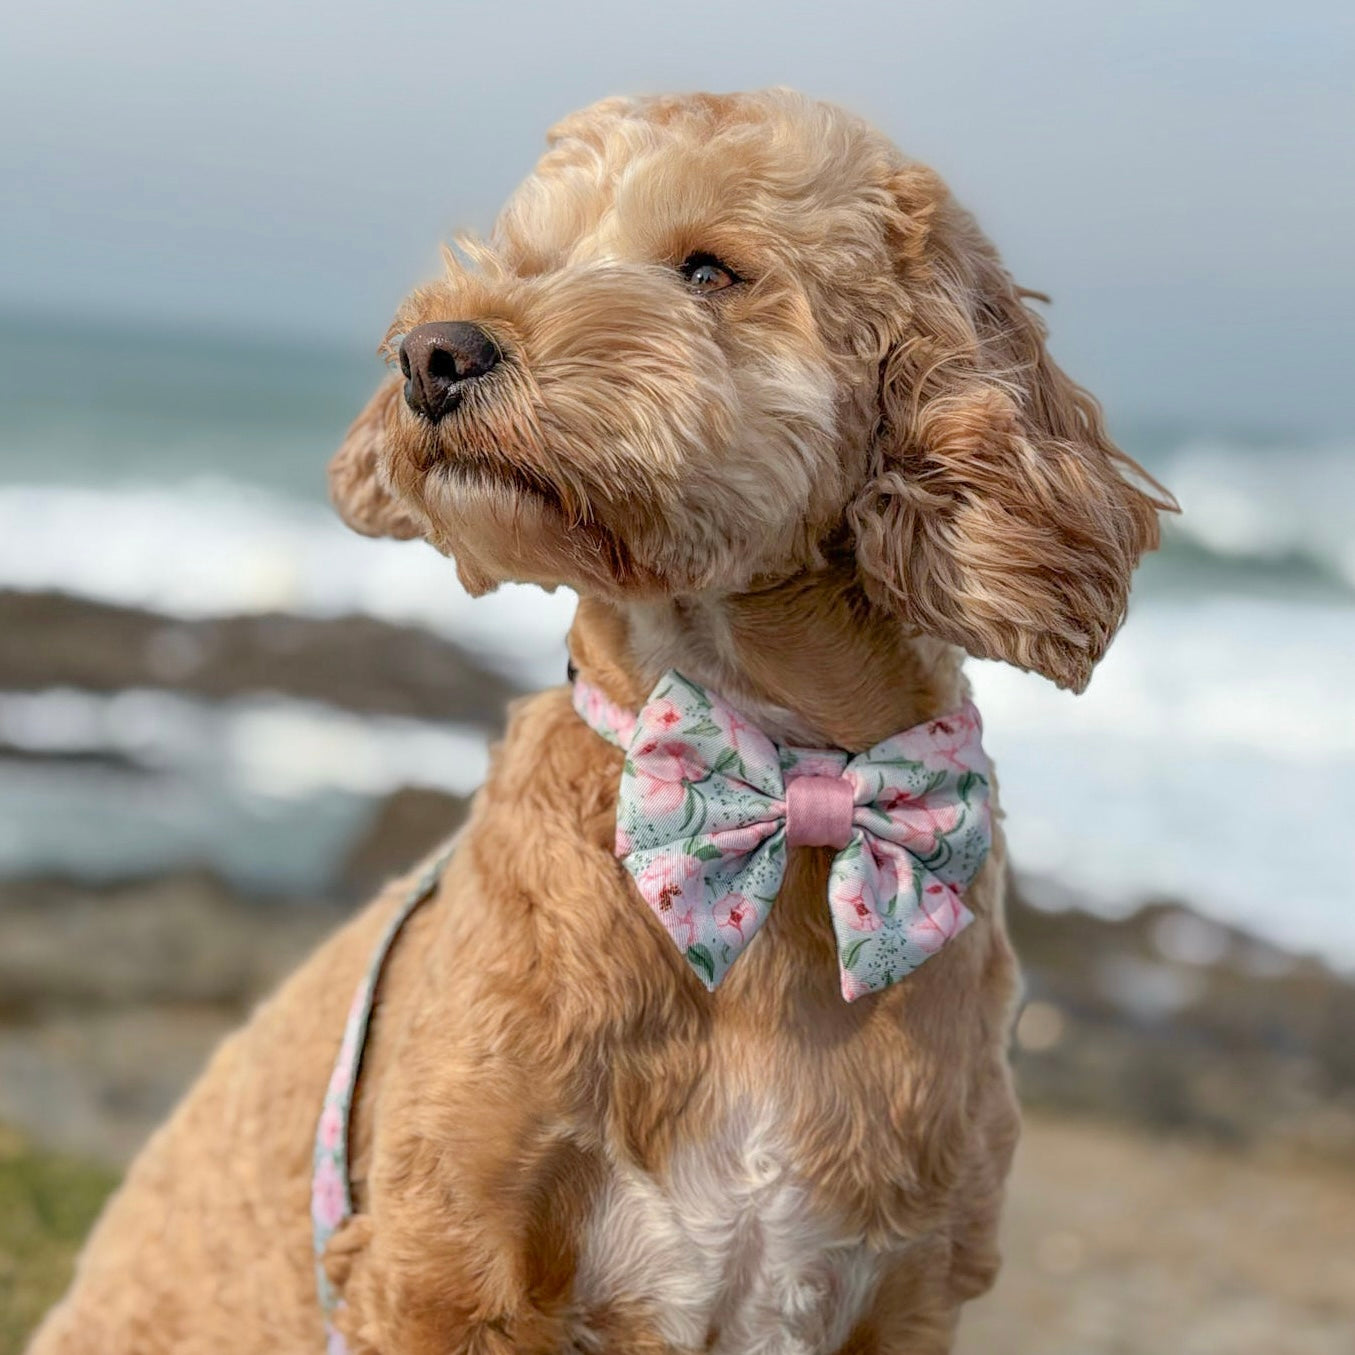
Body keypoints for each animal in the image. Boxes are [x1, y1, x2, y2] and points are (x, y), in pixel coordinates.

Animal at [29, 90, 1176, 1349]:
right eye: (527, 257)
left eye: (709, 268)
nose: (435, 353)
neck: (772, 780)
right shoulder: (436, 1260)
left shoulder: (905, 1290)